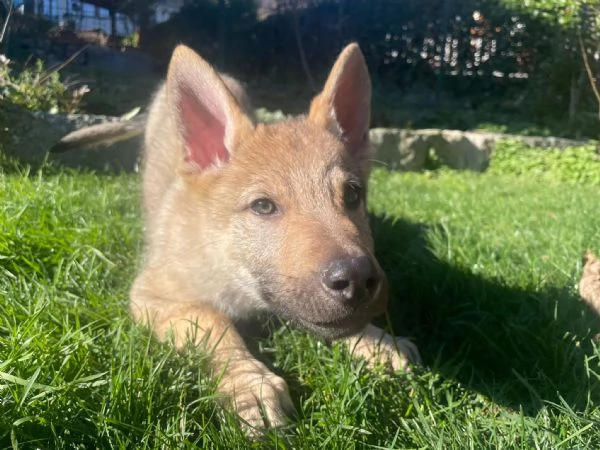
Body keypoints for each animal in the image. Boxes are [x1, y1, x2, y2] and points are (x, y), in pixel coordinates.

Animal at [129, 43, 420, 432]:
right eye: (263, 206)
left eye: (352, 195)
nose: (358, 280)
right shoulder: (152, 294)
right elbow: (212, 321)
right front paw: (248, 385)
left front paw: (378, 342)